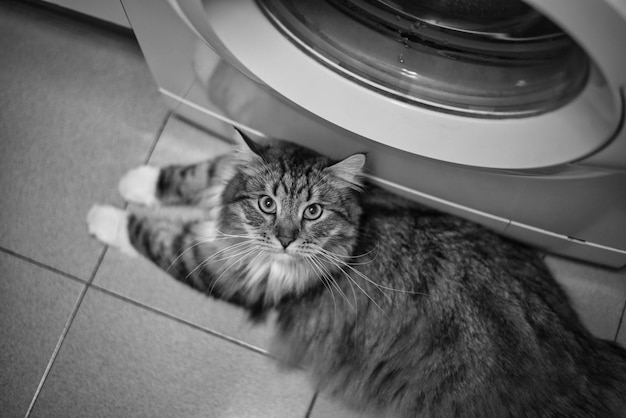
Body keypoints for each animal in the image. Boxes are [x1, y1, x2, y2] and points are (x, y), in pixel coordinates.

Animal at [86, 131, 624, 418]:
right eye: (267, 204)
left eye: (314, 212)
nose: (284, 239)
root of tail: (585, 353)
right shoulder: (226, 181)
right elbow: (190, 173)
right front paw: (138, 179)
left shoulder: (221, 270)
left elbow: (155, 237)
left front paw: (104, 216)